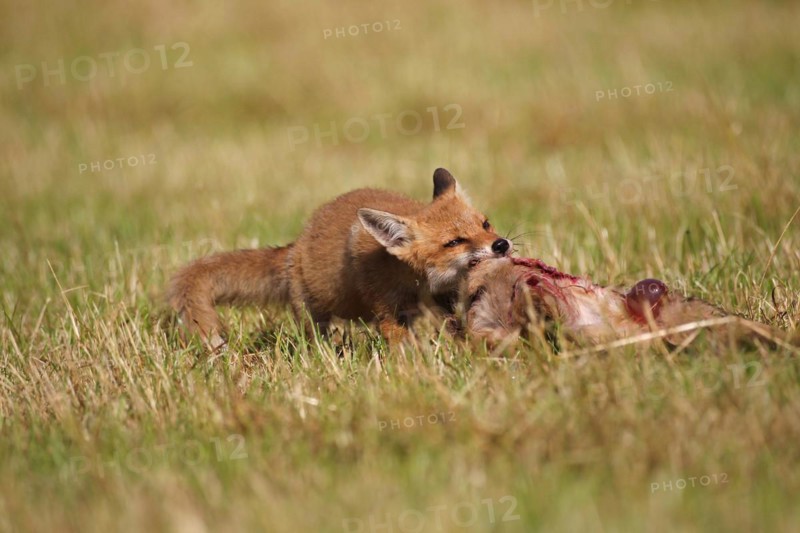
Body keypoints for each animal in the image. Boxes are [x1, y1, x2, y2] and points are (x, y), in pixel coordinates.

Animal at [168, 168, 513, 348]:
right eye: (454, 242)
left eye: (485, 224)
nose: (501, 245)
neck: (420, 282)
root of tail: (296, 245)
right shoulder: (389, 311)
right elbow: (402, 346)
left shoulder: (444, 303)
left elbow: (457, 329)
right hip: (312, 315)